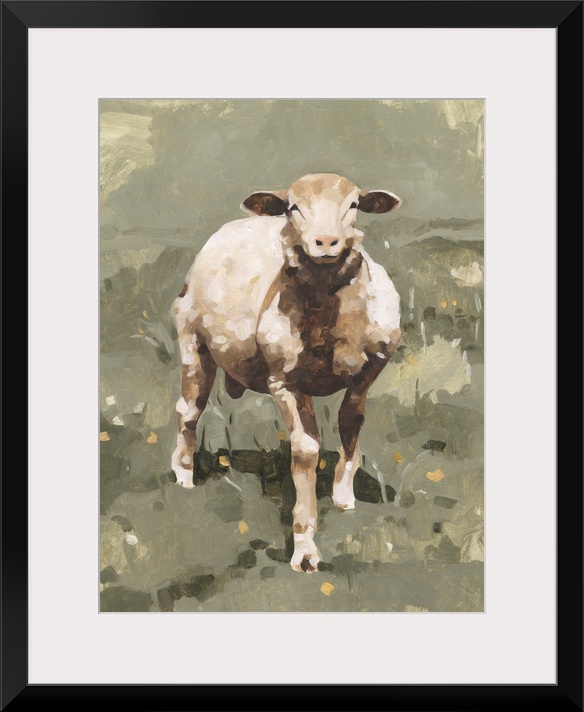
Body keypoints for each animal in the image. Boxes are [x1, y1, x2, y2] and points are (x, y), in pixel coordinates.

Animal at [171, 173, 402, 572]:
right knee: (188, 410)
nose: (325, 242)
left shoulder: (367, 372)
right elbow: (306, 451)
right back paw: (183, 474)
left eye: (354, 204)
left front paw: (344, 495)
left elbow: (350, 423)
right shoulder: (285, 383)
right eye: (293, 206)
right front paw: (305, 549)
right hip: (192, 342)